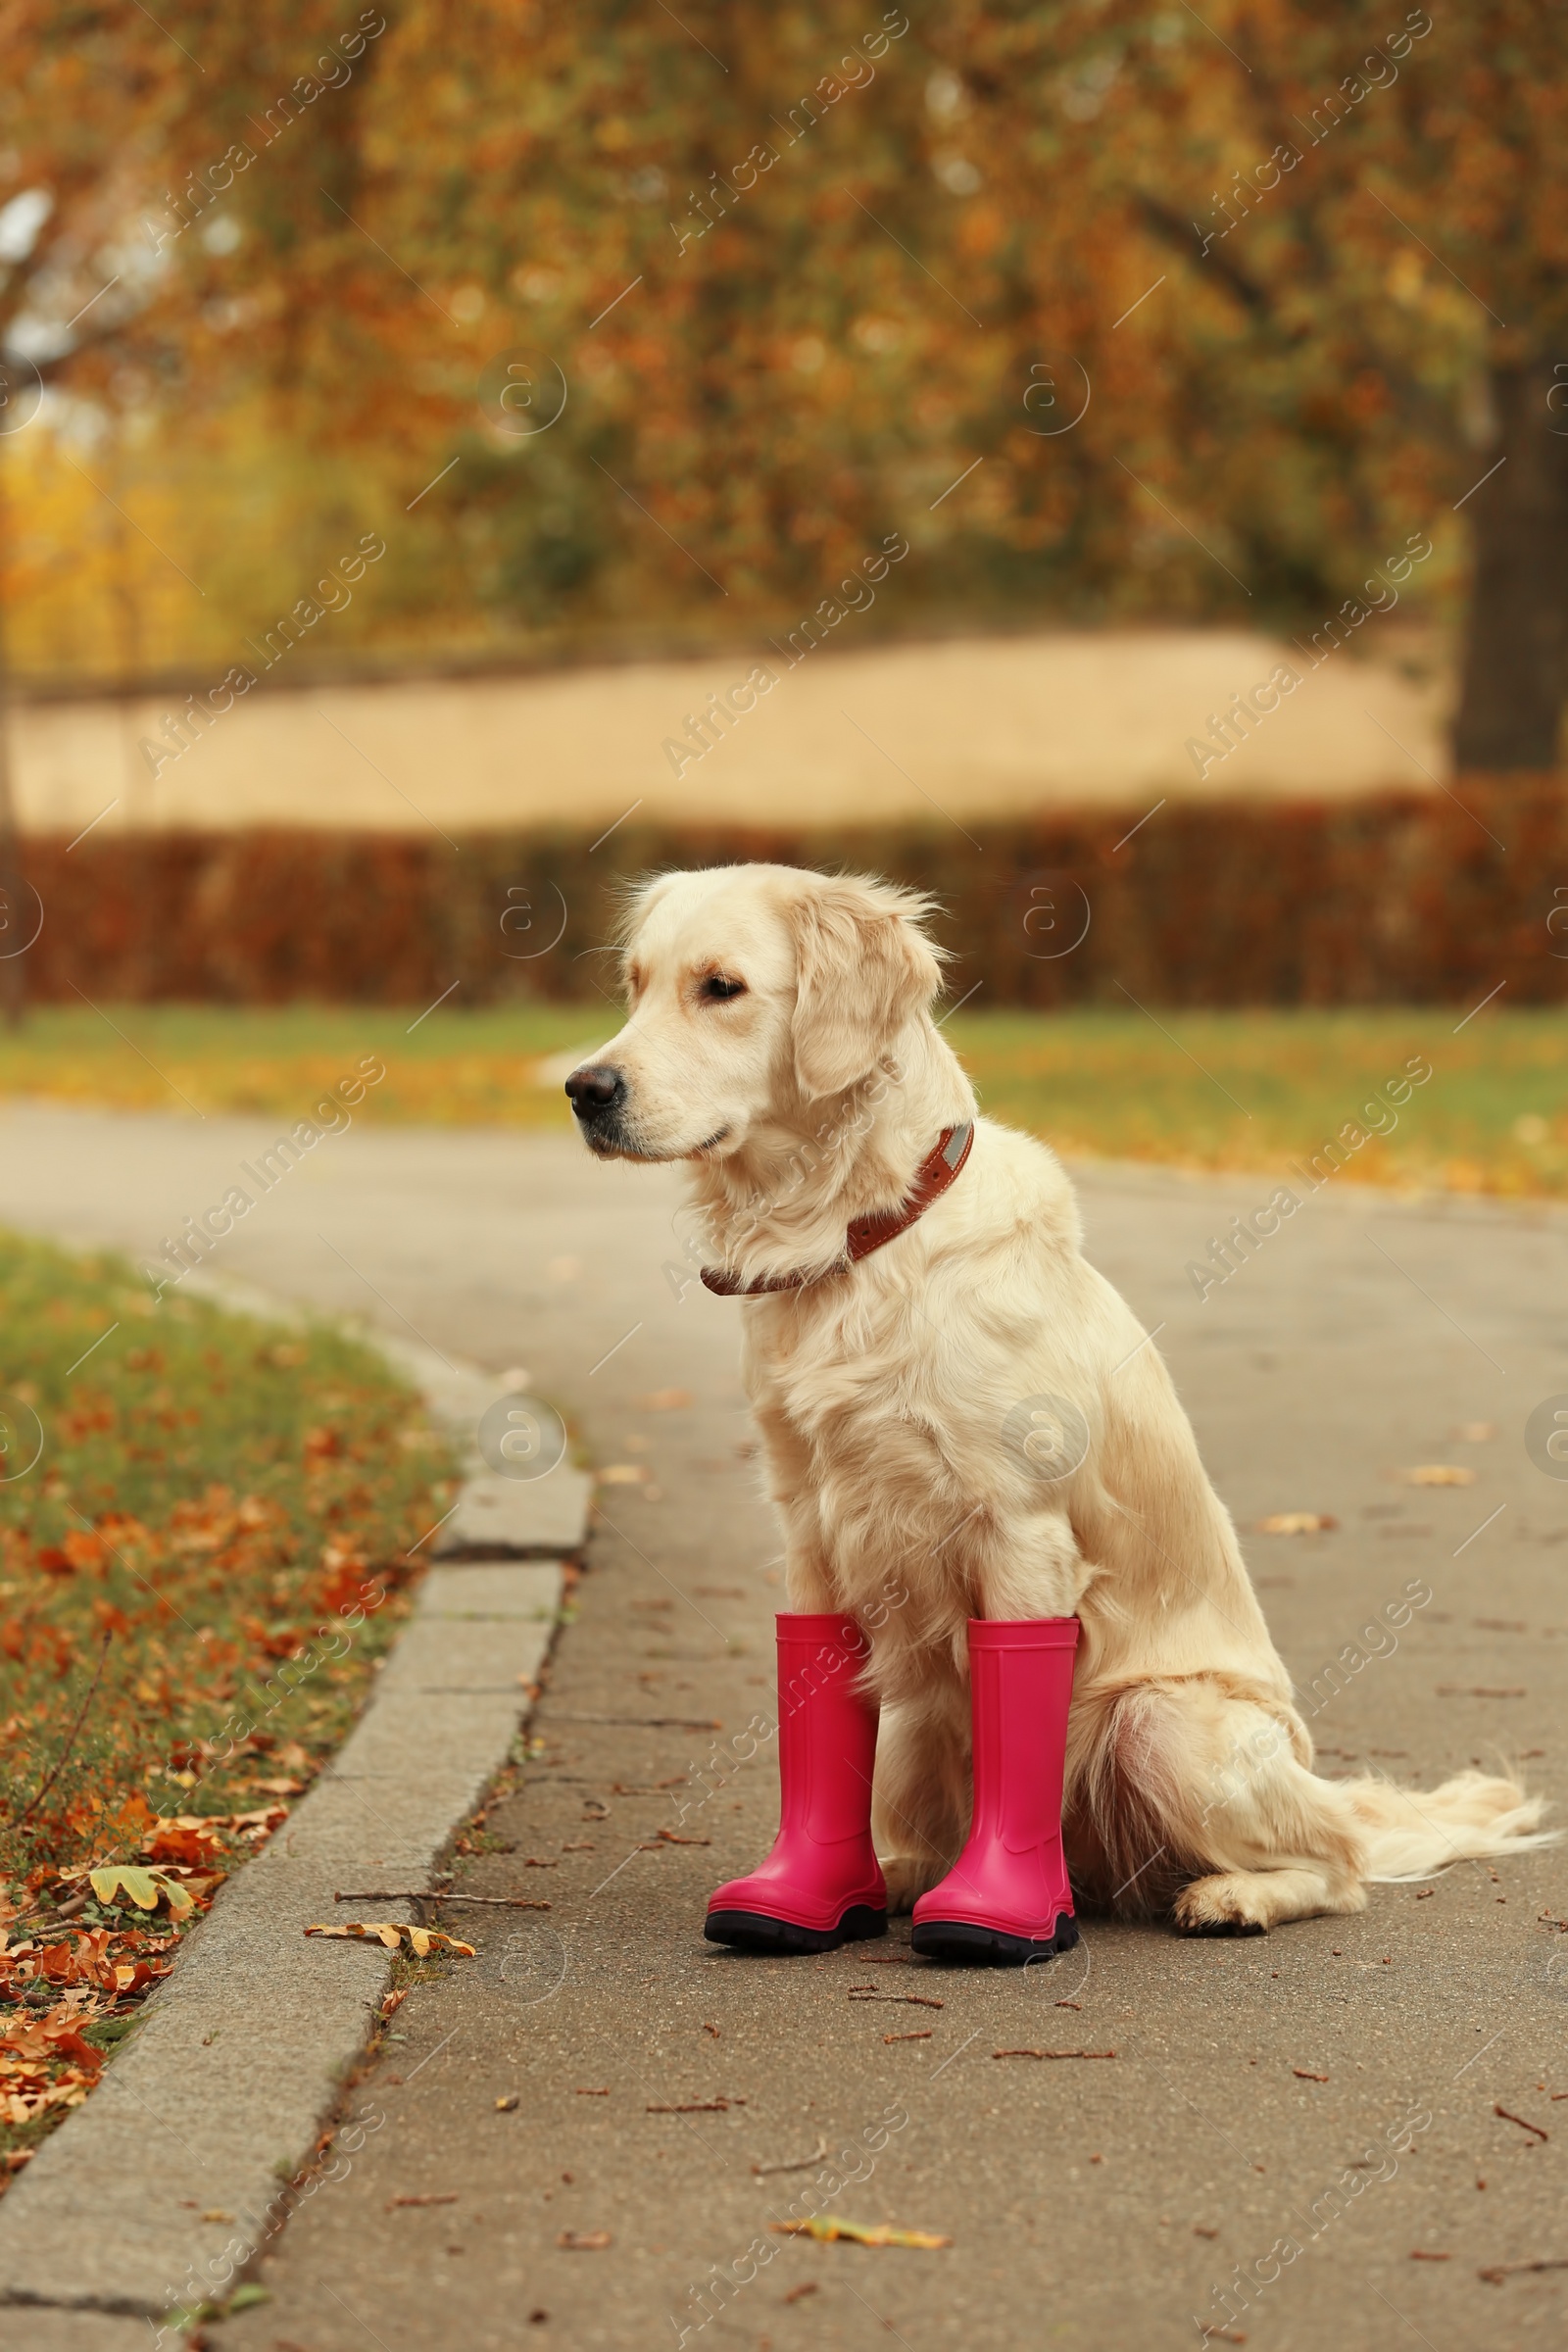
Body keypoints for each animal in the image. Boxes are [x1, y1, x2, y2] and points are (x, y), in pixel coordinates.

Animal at [564, 865, 1542, 1929]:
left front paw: (999, 1911)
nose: (583, 1089)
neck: (861, 1235)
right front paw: (802, 1894)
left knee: (1339, 1866)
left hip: (1158, 1721)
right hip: (914, 1730)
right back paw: (898, 1880)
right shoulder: (811, 1528)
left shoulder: (1019, 1530)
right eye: (634, 985)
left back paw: (1224, 1895)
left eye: (722, 988)